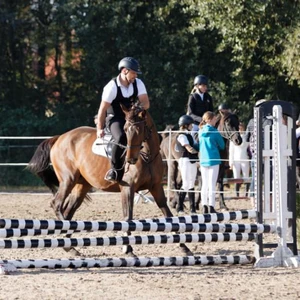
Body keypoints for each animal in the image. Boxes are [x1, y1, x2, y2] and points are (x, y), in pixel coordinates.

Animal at [28, 104, 192, 256]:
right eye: (125, 130)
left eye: (139, 130)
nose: (130, 159)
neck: (147, 156)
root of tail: (59, 138)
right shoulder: (128, 188)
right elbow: (128, 217)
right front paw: (128, 248)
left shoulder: (156, 187)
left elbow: (168, 216)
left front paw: (184, 247)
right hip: (68, 180)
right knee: (57, 204)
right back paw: (68, 239)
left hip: (81, 186)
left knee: (69, 210)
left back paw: (69, 245)